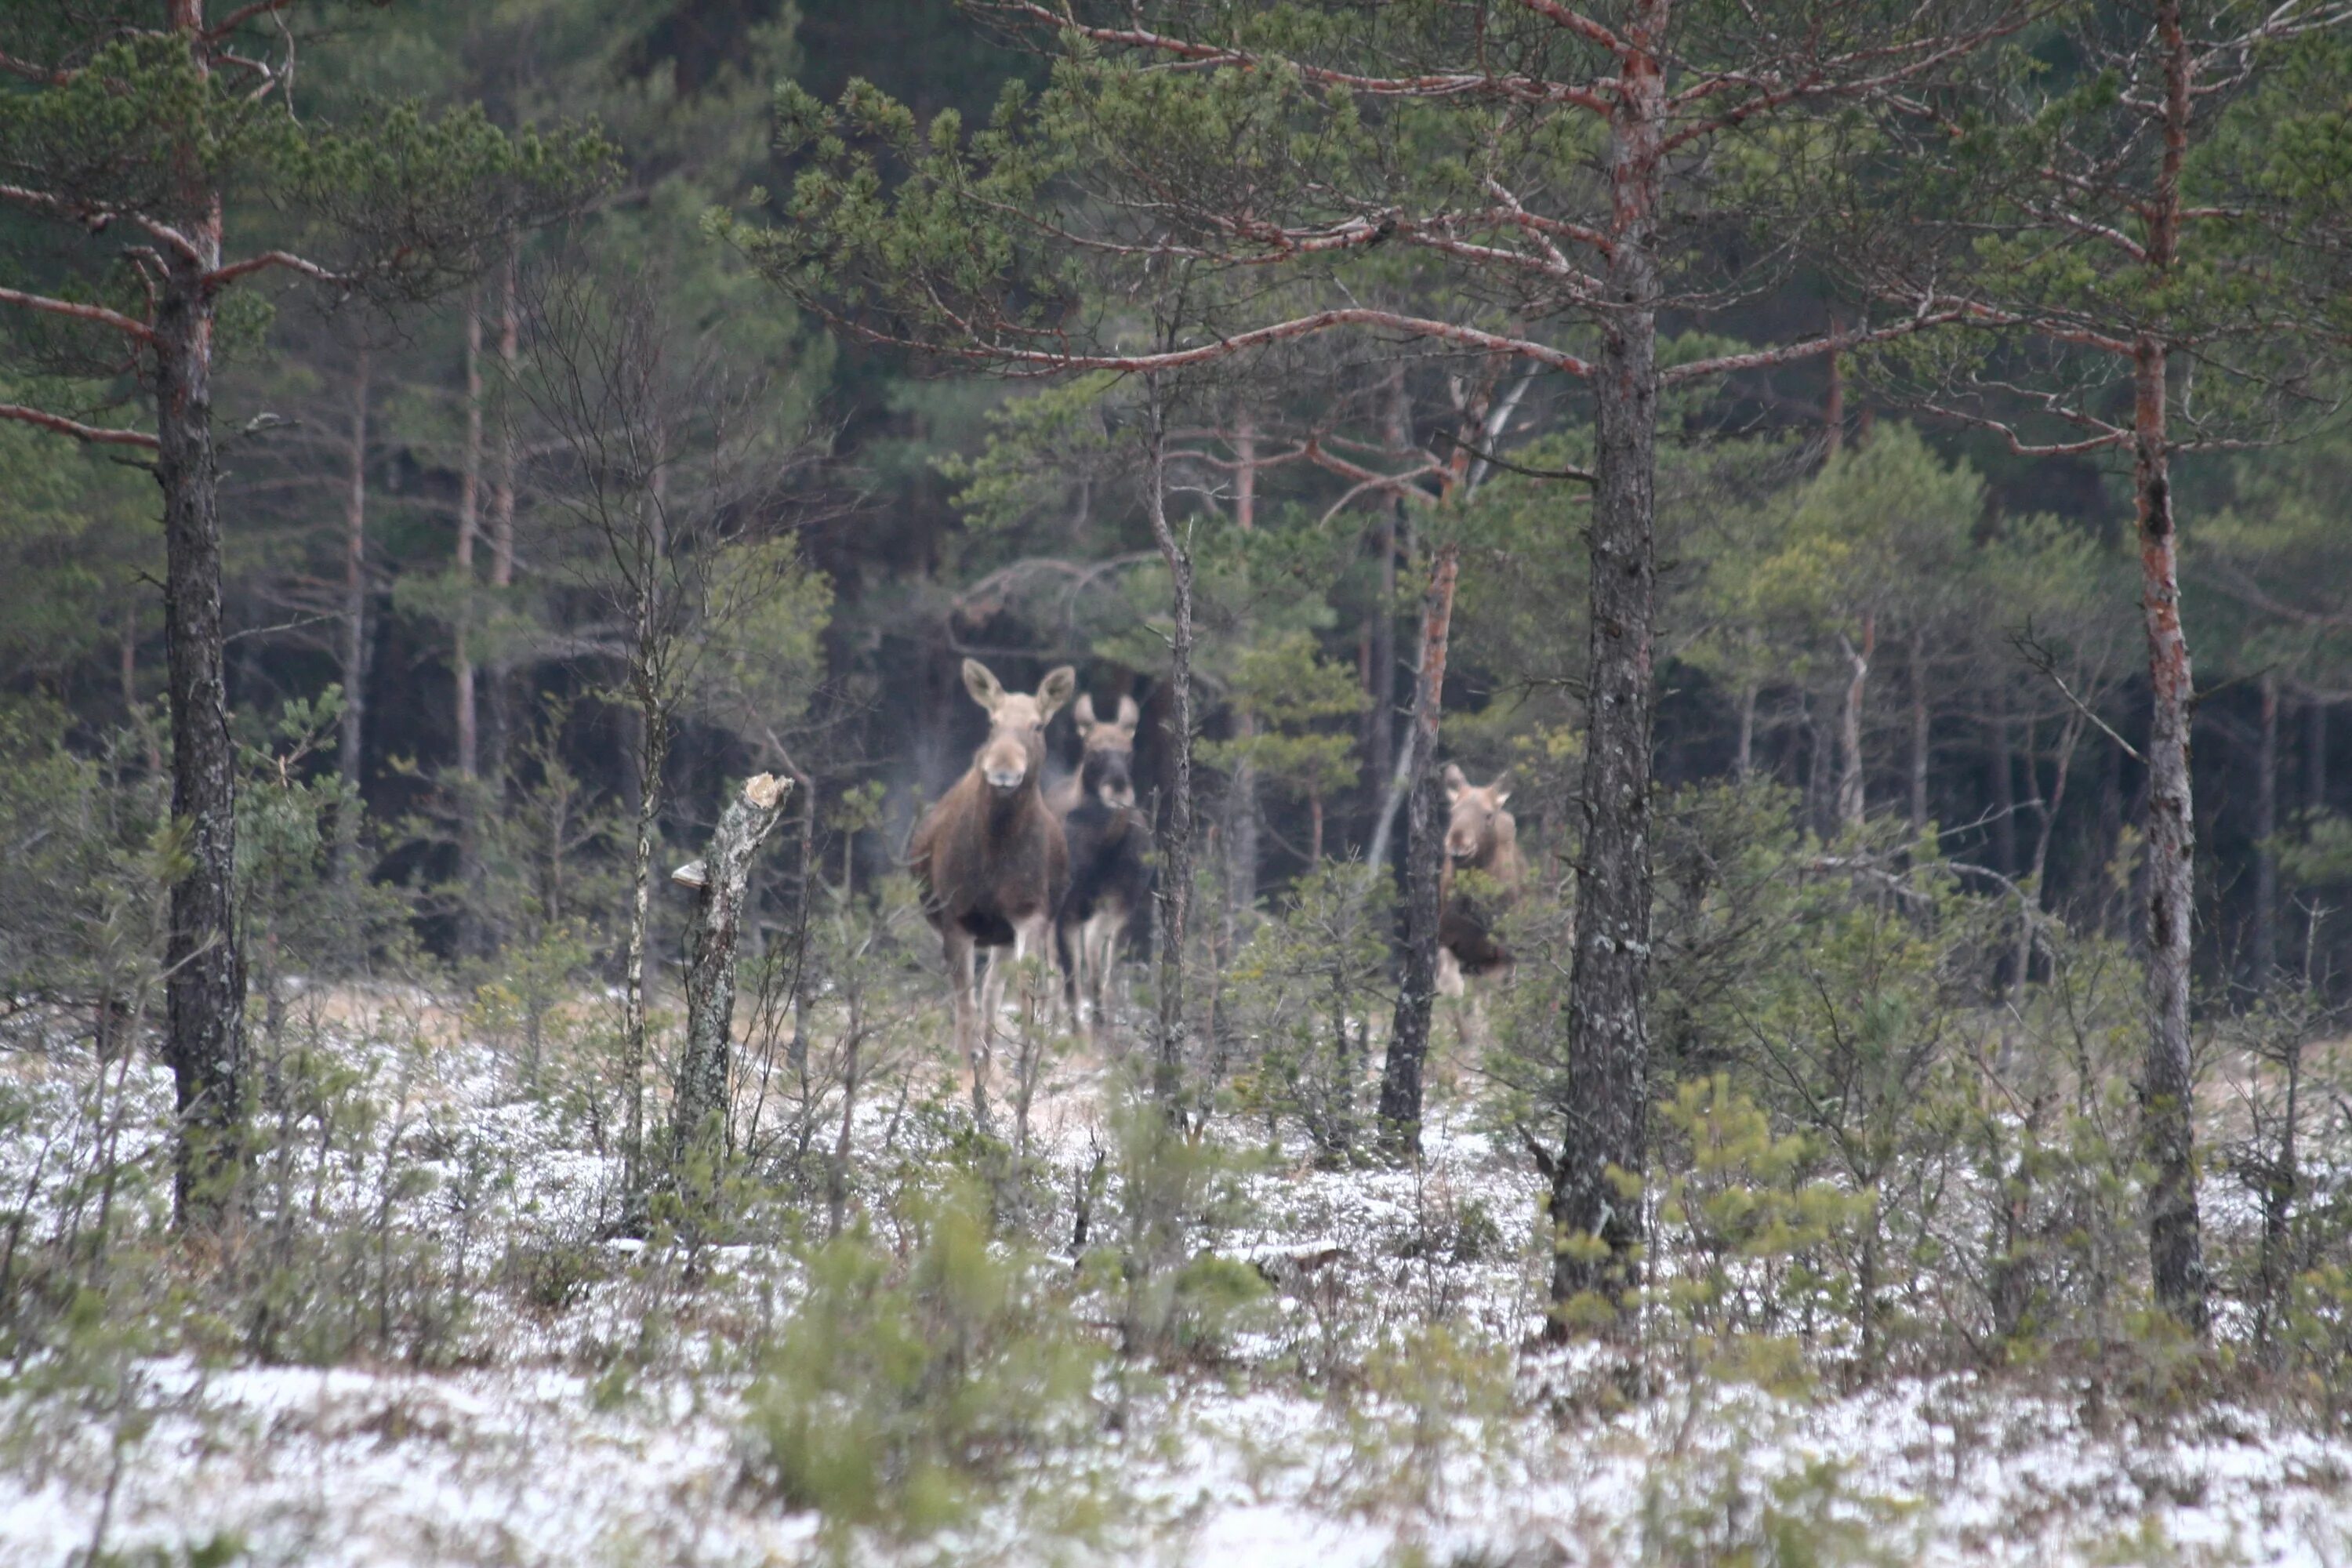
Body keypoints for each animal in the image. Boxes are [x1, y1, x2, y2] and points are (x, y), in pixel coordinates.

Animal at [913, 658, 1077, 1128]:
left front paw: (1022, 1069)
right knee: (973, 997)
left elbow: (1023, 993)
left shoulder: (1029, 914)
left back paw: (990, 1064)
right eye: (992, 721)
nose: (1003, 770)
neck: (996, 851)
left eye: (1038, 725)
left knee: (992, 994)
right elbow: (963, 1002)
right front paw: (964, 1076)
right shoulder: (956, 919)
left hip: (1002, 936)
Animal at [1058, 695, 1148, 1044]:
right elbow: (1070, 983)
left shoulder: (1121, 907)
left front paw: (1103, 1026)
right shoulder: (1065, 913)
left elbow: (1106, 974)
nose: (1119, 789)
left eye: (1130, 752)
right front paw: (1078, 1036)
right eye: (1093, 752)